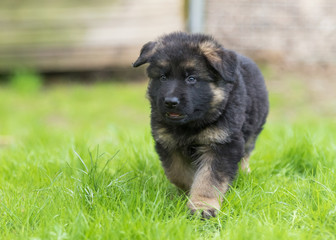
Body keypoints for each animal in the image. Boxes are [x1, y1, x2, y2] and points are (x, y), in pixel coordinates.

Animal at [133, 31, 270, 218]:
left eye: (191, 79)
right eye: (163, 77)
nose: (170, 102)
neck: (190, 125)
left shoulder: (222, 144)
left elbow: (208, 179)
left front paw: (202, 206)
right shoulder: (169, 144)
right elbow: (179, 173)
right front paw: (186, 194)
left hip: (252, 132)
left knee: (245, 155)